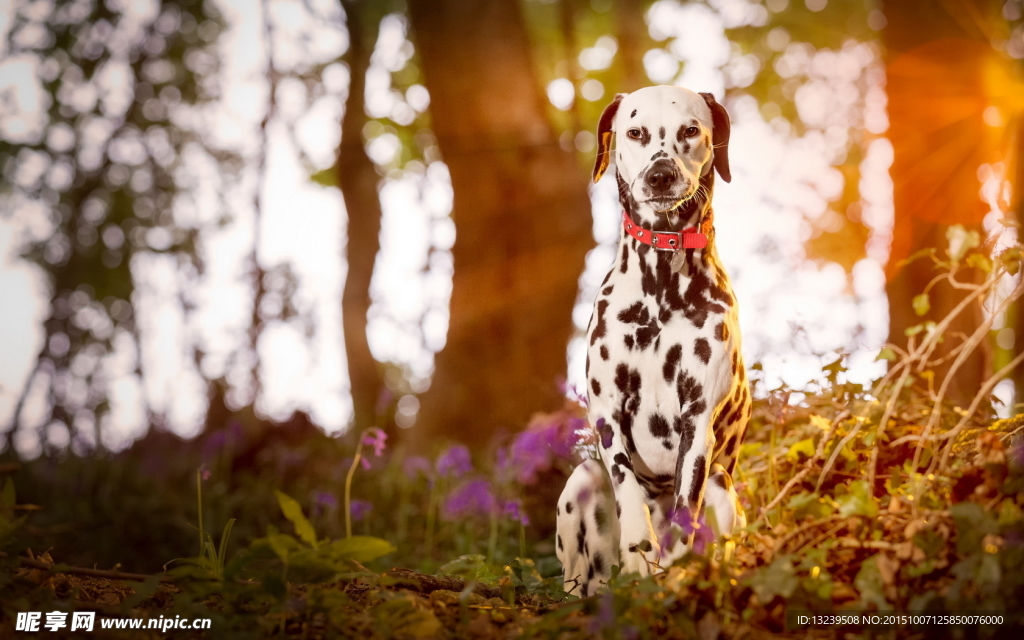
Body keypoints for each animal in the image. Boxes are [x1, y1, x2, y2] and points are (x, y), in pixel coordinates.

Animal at [557, 84, 749, 593]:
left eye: (691, 130)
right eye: (636, 132)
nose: (661, 175)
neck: (662, 283)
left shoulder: (698, 419)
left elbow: (685, 507)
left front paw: (673, 561)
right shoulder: (608, 412)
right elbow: (626, 486)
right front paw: (640, 551)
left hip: (723, 488)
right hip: (581, 482)